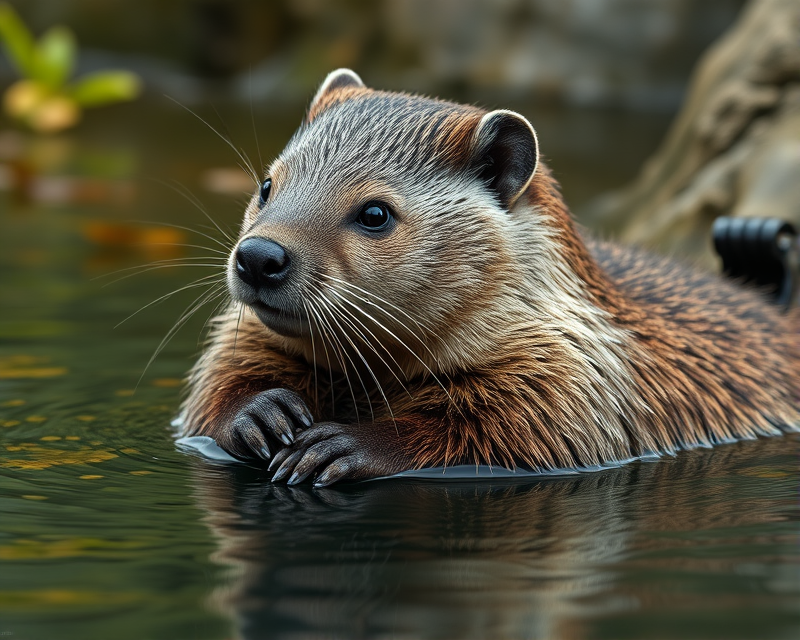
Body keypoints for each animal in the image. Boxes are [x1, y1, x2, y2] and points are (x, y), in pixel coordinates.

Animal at [178, 67, 796, 484]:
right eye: (267, 186)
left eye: (375, 213)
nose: (260, 256)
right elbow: (212, 395)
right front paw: (260, 412)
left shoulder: (573, 388)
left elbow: (507, 434)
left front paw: (347, 446)